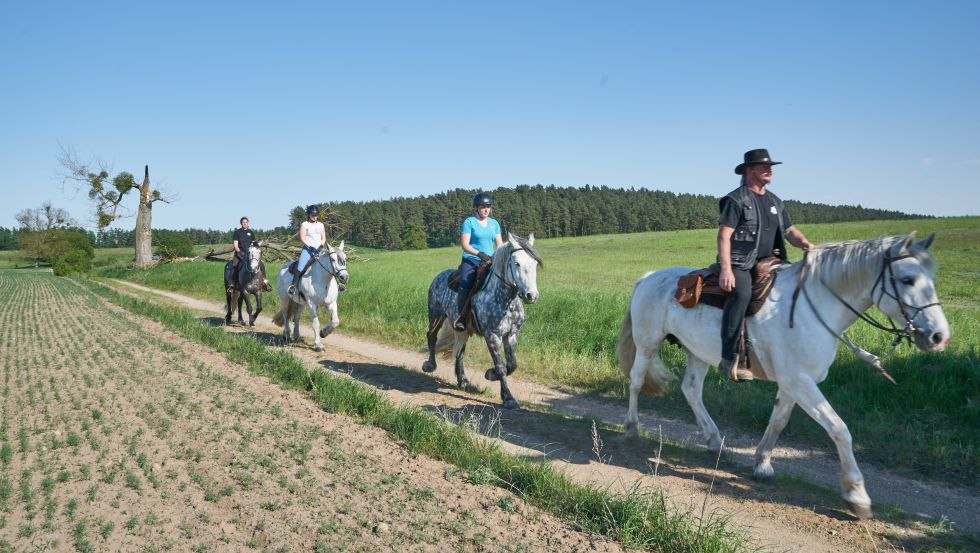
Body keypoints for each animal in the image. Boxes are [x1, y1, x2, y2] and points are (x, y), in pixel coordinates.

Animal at [422, 233, 544, 410]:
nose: (531, 295)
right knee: (431, 336)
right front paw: (508, 398)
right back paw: (430, 366)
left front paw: (490, 374)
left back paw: (463, 381)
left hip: (462, 328)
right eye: (516, 263)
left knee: (459, 351)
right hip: (436, 314)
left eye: (534, 263)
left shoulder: (511, 334)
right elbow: (501, 366)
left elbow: (512, 365)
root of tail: (440, 276)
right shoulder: (491, 335)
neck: (505, 300)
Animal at [620, 233, 948, 516]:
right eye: (907, 279)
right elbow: (839, 429)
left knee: (691, 390)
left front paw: (762, 464)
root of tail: (649, 277)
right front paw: (856, 494)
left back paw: (714, 441)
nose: (939, 336)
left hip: (698, 351)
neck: (814, 307)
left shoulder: (794, 381)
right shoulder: (800, 381)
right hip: (648, 342)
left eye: (932, 280)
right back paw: (632, 429)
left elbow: (778, 421)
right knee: (636, 381)